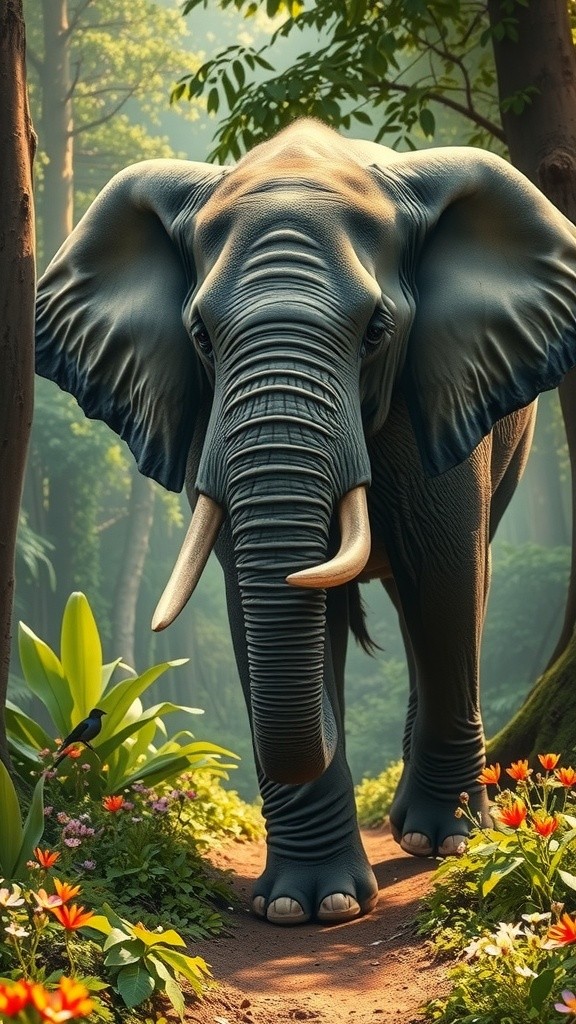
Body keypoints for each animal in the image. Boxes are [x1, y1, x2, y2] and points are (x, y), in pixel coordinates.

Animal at [36, 118, 576, 926]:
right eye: (200, 336)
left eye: (377, 331)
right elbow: (251, 597)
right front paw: (305, 908)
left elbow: (445, 578)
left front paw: (450, 843)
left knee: (445, 596)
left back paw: (419, 832)